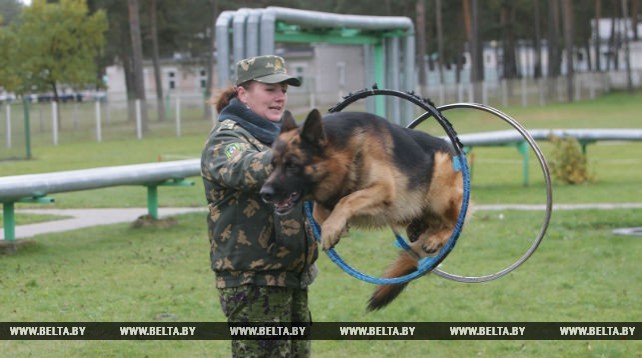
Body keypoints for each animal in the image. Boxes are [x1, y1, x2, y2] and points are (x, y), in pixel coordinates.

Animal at [260, 109, 464, 310]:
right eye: (272, 165)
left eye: (292, 166)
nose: (264, 193)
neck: (346, 150)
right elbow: (319, 211)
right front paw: (335, 226)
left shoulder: (383, 188)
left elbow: (347, 199)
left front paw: (331, 229)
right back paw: (417, 227)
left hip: (439, 176)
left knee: (453, 223)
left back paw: (436, 237)